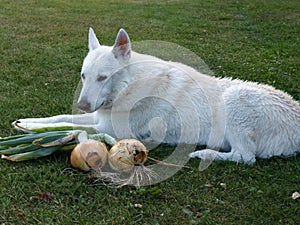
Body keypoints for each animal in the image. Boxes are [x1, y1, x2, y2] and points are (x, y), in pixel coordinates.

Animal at [14, 29, 300, 164]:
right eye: (84, 76)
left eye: (103, 78)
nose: (83, 104)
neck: (128, 86)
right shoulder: (100, 117)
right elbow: (60, 118)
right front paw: (27, 124)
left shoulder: (110, 128)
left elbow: (67, 126)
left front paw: (32, 131)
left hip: (234, 101)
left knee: (246, 157)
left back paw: (204, 154)